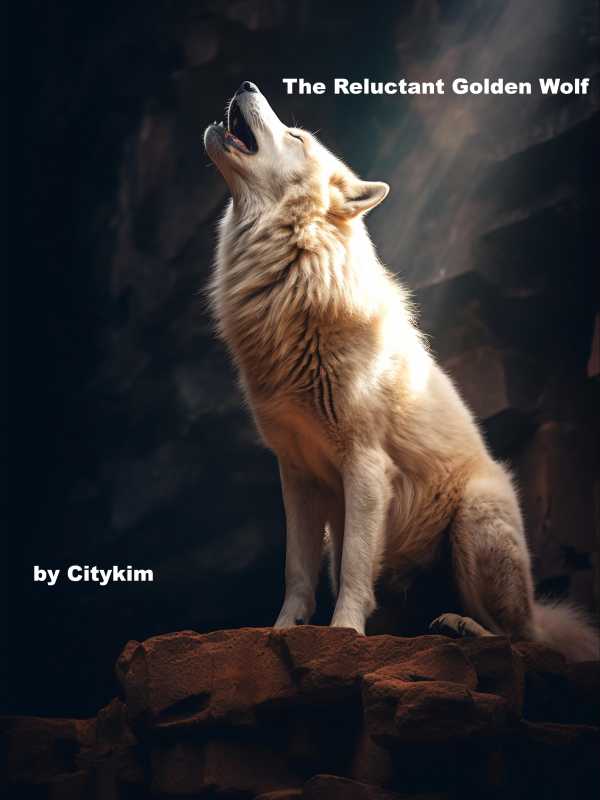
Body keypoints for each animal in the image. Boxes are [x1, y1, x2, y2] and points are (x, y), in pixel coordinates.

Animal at [204, 81, 598, 661]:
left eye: (296, 136)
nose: (247, 84)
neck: (295, 281)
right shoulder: (296, 473)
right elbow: (296, 572)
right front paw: (280, 632)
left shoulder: (366, 465)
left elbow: (352, 568)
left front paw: (344, 632)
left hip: (475, 520)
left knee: (523, 638)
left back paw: (463, 627)